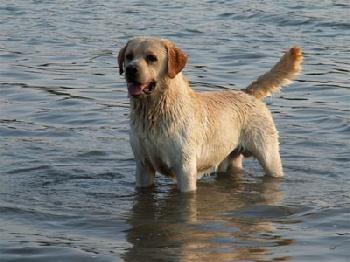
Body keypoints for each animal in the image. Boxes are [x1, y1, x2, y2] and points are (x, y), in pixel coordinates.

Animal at [118, 36, 304, 192]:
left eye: (151, 58)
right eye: (129, 56)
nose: (130, 69)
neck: (153, 112)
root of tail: (247, 93)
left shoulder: (185, 168)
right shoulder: (143, 166)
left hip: (269, 156)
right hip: (229, 159)